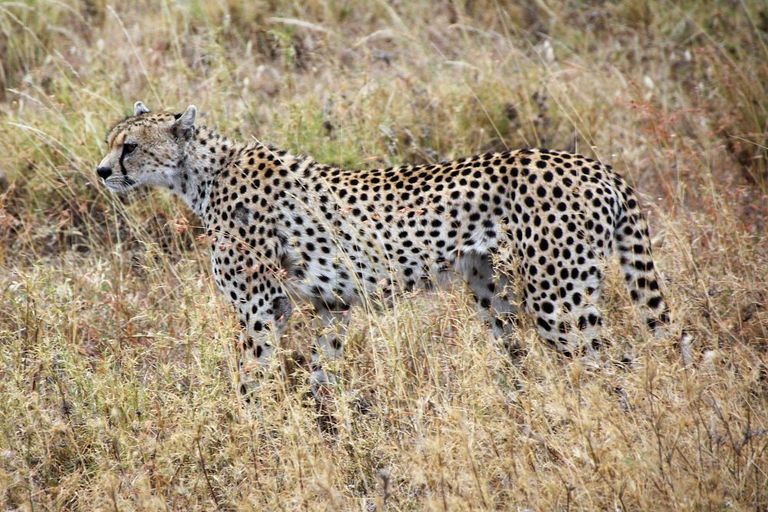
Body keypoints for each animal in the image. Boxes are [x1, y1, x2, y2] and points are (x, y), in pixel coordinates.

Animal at [97, 101, 671, 403]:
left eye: (130, 146)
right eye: (111, 141)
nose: (102, 171)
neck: (201, 175)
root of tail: (595, 164)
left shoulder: (261, 309)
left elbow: (250, 378)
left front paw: (245, 435)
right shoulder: (331, 306)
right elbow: (320, 371)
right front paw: (324, 427)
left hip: (558, 299)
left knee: (612, 364)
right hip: (493, 289)